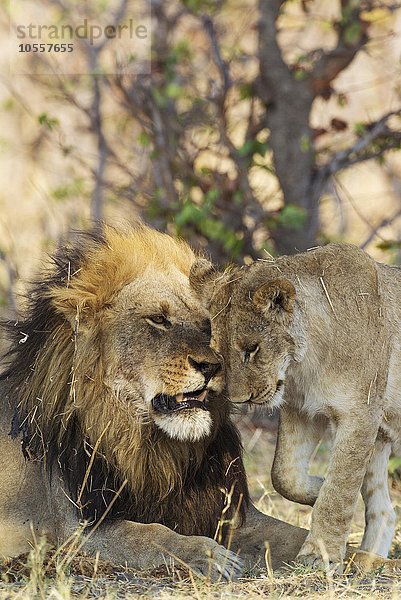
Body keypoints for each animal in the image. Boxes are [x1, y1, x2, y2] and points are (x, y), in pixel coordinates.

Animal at [190, 245, 400, 572]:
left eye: (252, 348)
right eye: (219, 353)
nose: (239, 399)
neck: (305, 362)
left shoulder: (361, 413)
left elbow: (339, 490)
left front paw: (319, 554)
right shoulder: (301, 411)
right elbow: (284, 474)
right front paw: (317, 489)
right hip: (379, 440)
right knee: (384, 512)